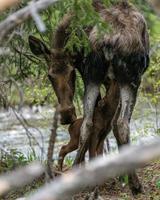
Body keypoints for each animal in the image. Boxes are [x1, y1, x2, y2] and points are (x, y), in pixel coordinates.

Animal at [28, 0, 149, 194]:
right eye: (50, 76)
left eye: (71, 72)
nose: (66, 114)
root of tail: (108, 40)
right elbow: (110, 124)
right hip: (130, 78)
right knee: (121, 123)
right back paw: (135, 185)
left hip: (94, 75)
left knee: (88, 122)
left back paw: (76, 175)